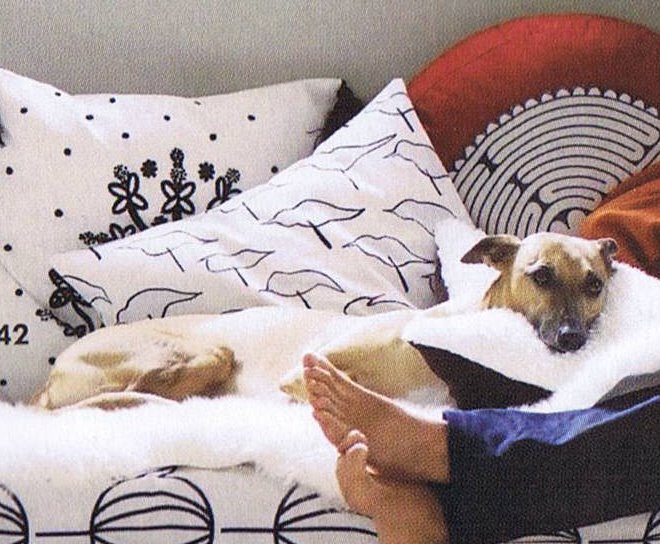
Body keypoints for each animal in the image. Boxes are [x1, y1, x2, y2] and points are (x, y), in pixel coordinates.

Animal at [31, 232, 617, 410]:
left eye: (595, 285)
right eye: (540, 275)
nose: (571, 339)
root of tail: (47, 381)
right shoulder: (306, 372)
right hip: (205, 353)